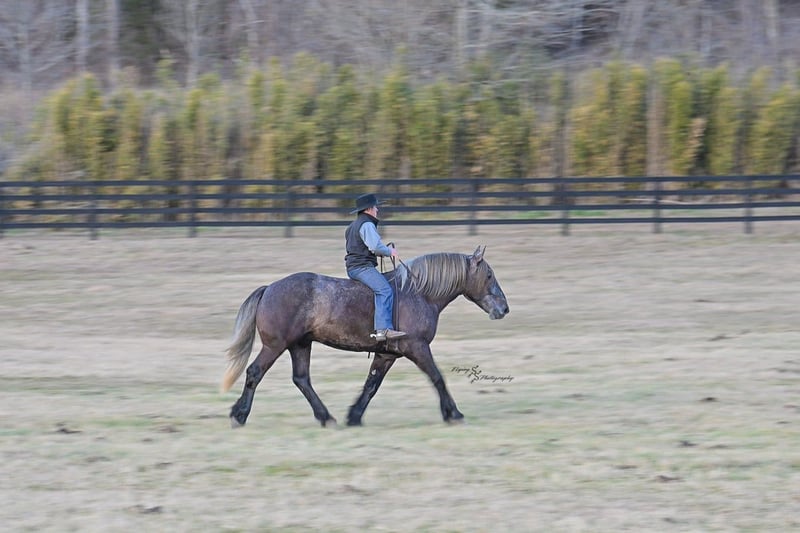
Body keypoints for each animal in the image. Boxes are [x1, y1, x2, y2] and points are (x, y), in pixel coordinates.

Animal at [221, 246, 509, 427]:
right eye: (489, 275)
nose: (504, 309)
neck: (418, 293)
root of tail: (269, 288)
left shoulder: (387, 354)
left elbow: (372, 384)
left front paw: (354, 416)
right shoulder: (417, 347)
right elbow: (437, 377)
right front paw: (454, 414)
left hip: (300, 345)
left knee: (301, 379)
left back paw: (326, 417)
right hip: (276, 345)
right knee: (255, 372)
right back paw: (239, 415)